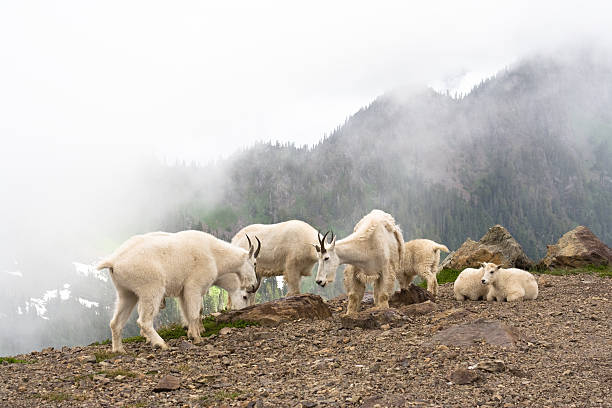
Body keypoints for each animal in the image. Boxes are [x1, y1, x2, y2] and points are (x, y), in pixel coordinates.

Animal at [97, 231, 260, 352]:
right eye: (254, 263)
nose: (253, 285)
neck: (215, 255)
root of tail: (114, 262)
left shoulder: (182, 291)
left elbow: (188, 312)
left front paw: (191, 333)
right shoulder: (194, 286)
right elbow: (195, 313)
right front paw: (197, 337)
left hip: (126, 292)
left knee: (115, 321)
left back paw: (119, 349)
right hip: (150, 288)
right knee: (144, 320)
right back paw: (161, 343)